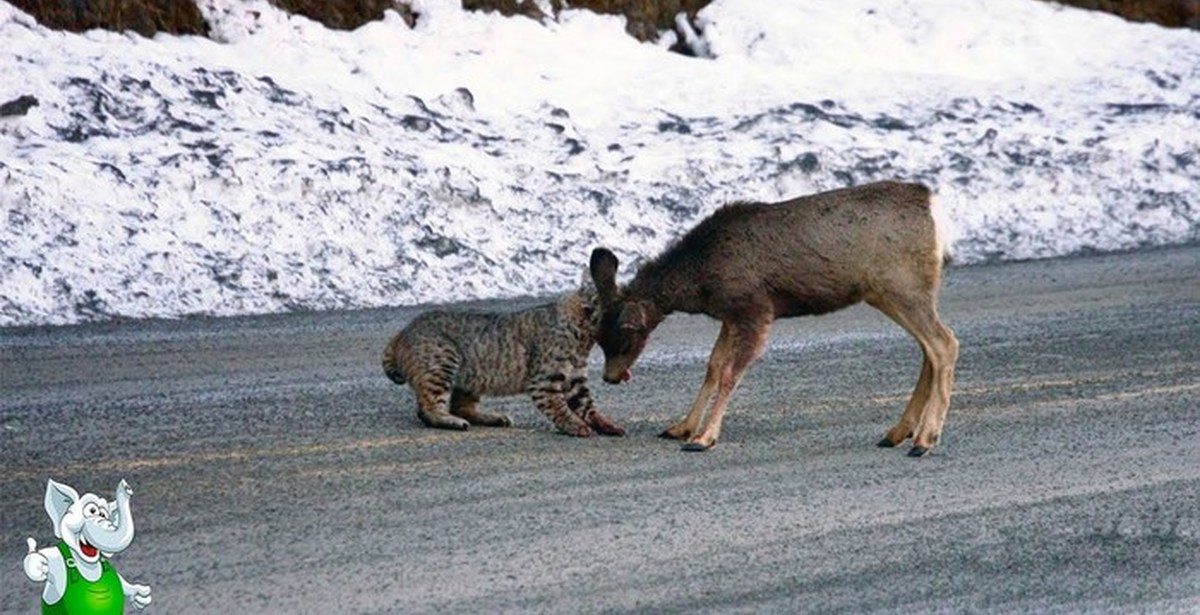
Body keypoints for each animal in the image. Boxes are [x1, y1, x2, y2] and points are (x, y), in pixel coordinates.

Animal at [585, 180, 960, 454]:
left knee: (944, 343)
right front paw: (681, 427)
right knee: (930, 349)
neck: (702, 276)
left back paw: (925, 439)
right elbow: (713, 367)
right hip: (894, 292)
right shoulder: (730, 315)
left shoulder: (754, 307)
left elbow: (730, 373)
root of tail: (934, 207)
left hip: (902, 285)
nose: (609, 377)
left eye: (625, 338)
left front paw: (704, 438)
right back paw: (898, 433)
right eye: (598, 336)